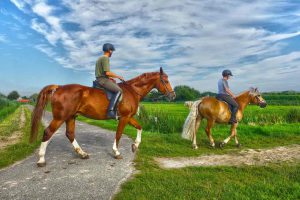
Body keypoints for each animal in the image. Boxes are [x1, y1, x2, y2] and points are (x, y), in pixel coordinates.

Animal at [30, 68, 176, 166]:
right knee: (48, 132)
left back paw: (82, 154)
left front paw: (135, 145)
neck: (132, 91)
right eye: (165, 80)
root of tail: (59, 88)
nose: (173, 95)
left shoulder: (128, 117)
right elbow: (118, 134)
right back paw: (41, 159)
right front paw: (116, 152)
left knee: (70, 134)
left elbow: (139, 127)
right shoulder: (124, 118)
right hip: (60, 118)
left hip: (71, 117)